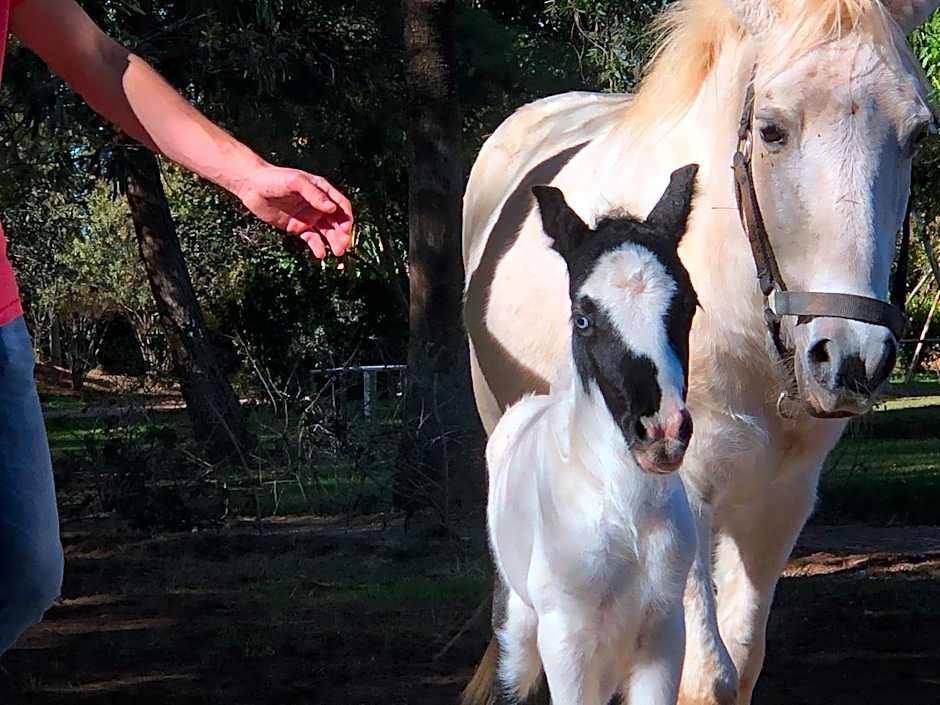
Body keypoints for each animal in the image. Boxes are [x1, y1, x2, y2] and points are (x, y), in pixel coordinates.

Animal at [487, 167, 699, 705]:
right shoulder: (567, 645)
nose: (661, 432)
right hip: (520, 634)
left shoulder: (664, 635)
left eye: (689, 306)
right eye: (583, 318)